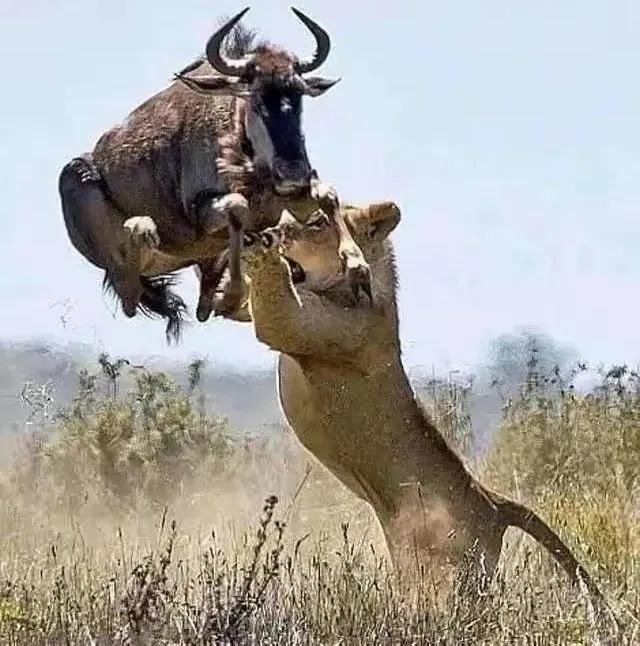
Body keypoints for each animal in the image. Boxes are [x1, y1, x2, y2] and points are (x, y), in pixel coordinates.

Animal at [59, 8, 370, 341]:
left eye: (298, 95)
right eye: (255, 97)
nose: (292, 171)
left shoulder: (289, 199)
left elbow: (327, 193)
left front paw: (358, 269)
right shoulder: (203, 210)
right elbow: (237, 207)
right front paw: (234, 293)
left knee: (196, 306)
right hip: (82, 193)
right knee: (128, 291)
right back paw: (142, 228)